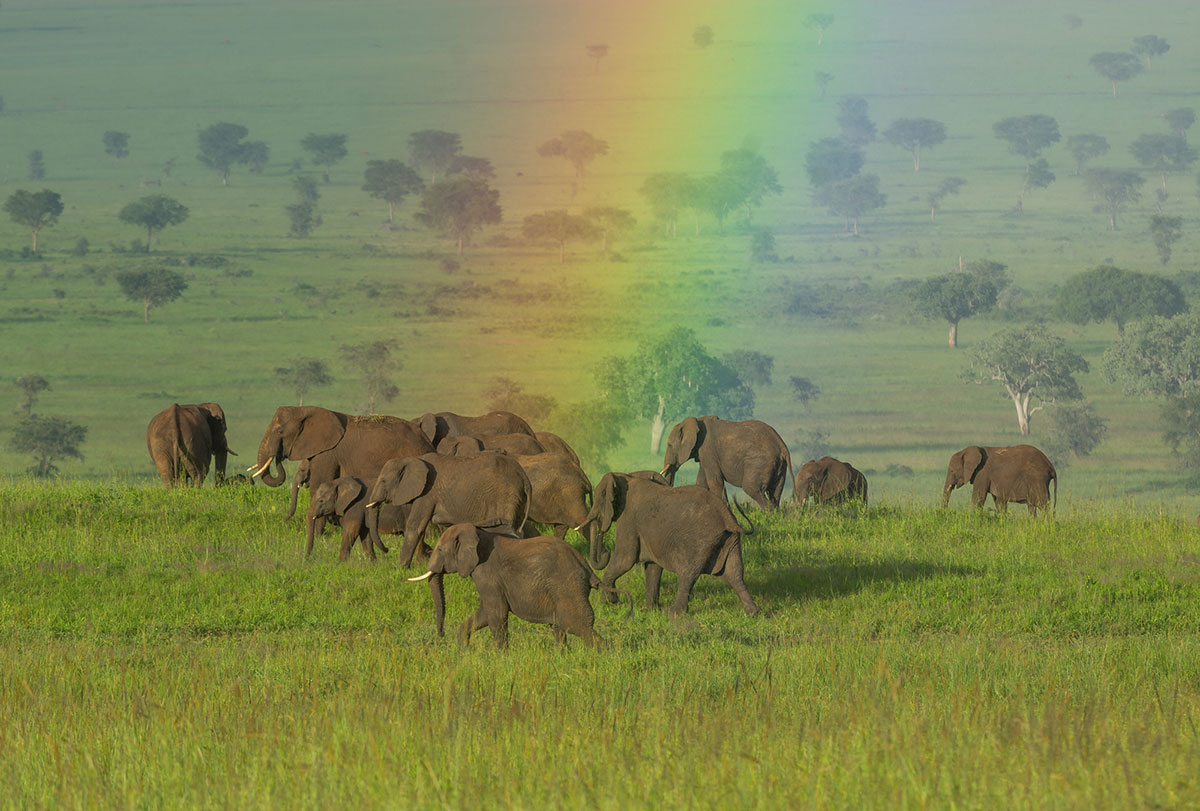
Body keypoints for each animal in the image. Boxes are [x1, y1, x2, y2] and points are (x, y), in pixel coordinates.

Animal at [250, 405, 434, 551]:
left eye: (280, 431)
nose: (278, 457)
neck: (304, 409)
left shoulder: (327, 453)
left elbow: (318, 485)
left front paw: (320, 537)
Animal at [360, 448, 530, 571]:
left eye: (383, 481)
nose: (387, 550)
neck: (413, 458)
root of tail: (524, 476)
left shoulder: (428, 492)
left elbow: (415, 527)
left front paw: (401, 568)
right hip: (517, 496)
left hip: (506, 493)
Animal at [408, 525, 633, 647]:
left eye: (439, 549)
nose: (440, 635)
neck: (478, 532)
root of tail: (587, 567)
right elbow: (485, 613)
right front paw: (465, 650)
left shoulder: (487, 575)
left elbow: (496, 613)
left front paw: (500, 657)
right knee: (561, 627)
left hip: (567, 586)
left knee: (578, 625)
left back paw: (605, 653)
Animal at [573, 467, 758, 614]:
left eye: (598, 498)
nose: (605, 552)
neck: (627, 476)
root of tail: (727, 518)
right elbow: (653, 567)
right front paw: (651, 611)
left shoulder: (629, 520)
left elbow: (625, 559)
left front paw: (608, 603)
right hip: (729, 540)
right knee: (735, 573)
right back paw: (752, 613)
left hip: (700, 541)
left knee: (688, 573)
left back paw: (675, 613)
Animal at [662, 417, 792, 506]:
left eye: (669, 445)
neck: (696, 420)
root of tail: (782, 445)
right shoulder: (704, 455)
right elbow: (701, 482)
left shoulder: (708, 451)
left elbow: (715, 482)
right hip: (780, 466)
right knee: (775, 493)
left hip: (760, 462)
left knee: (752, 488)